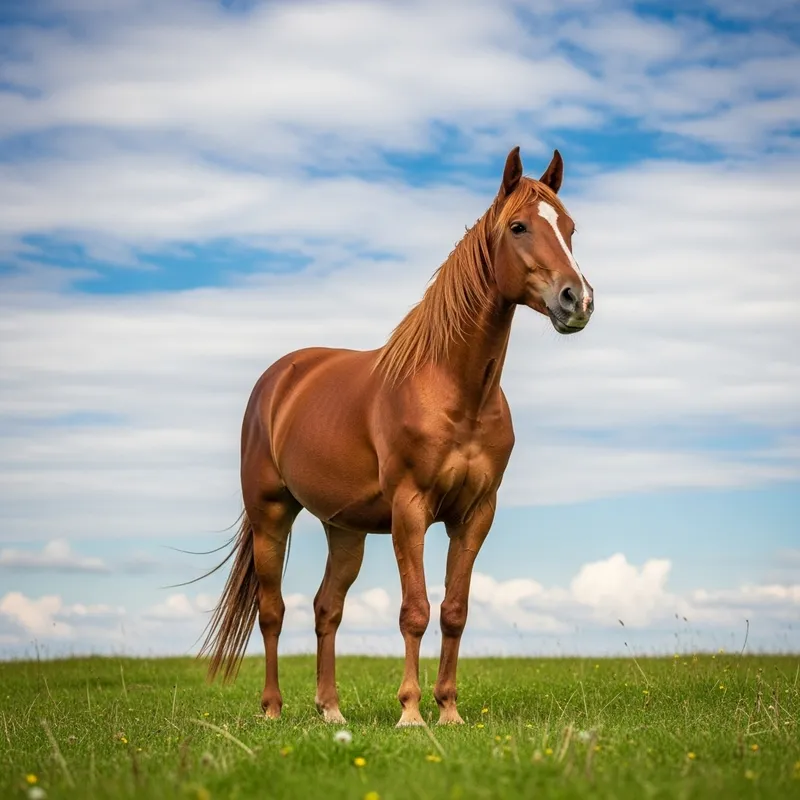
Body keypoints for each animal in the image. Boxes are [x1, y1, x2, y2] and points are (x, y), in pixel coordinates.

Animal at [199, 146, 594, 727]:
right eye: (518, 226)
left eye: (569, 228)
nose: (577, 300)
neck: (454, 391)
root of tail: (281, 378)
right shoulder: (411, 510)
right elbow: (415, 610)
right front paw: (410, 712)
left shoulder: (475, 514)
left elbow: (454, 611)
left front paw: (448, 710)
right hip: (272, 515)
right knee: (272, 612)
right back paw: (272, 709)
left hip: (345, 530)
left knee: (327, 609)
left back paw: (331, 710)